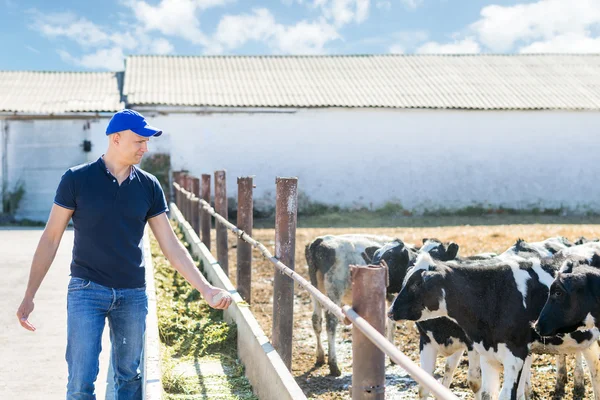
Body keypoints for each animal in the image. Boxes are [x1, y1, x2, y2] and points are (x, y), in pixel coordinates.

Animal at [390, 245, 600, 398]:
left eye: (417, 283)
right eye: (405, 279)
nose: (391, 311)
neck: (492, 293)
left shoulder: (516, 354)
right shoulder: (486, 353)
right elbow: (485, 393)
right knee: (595, 369)